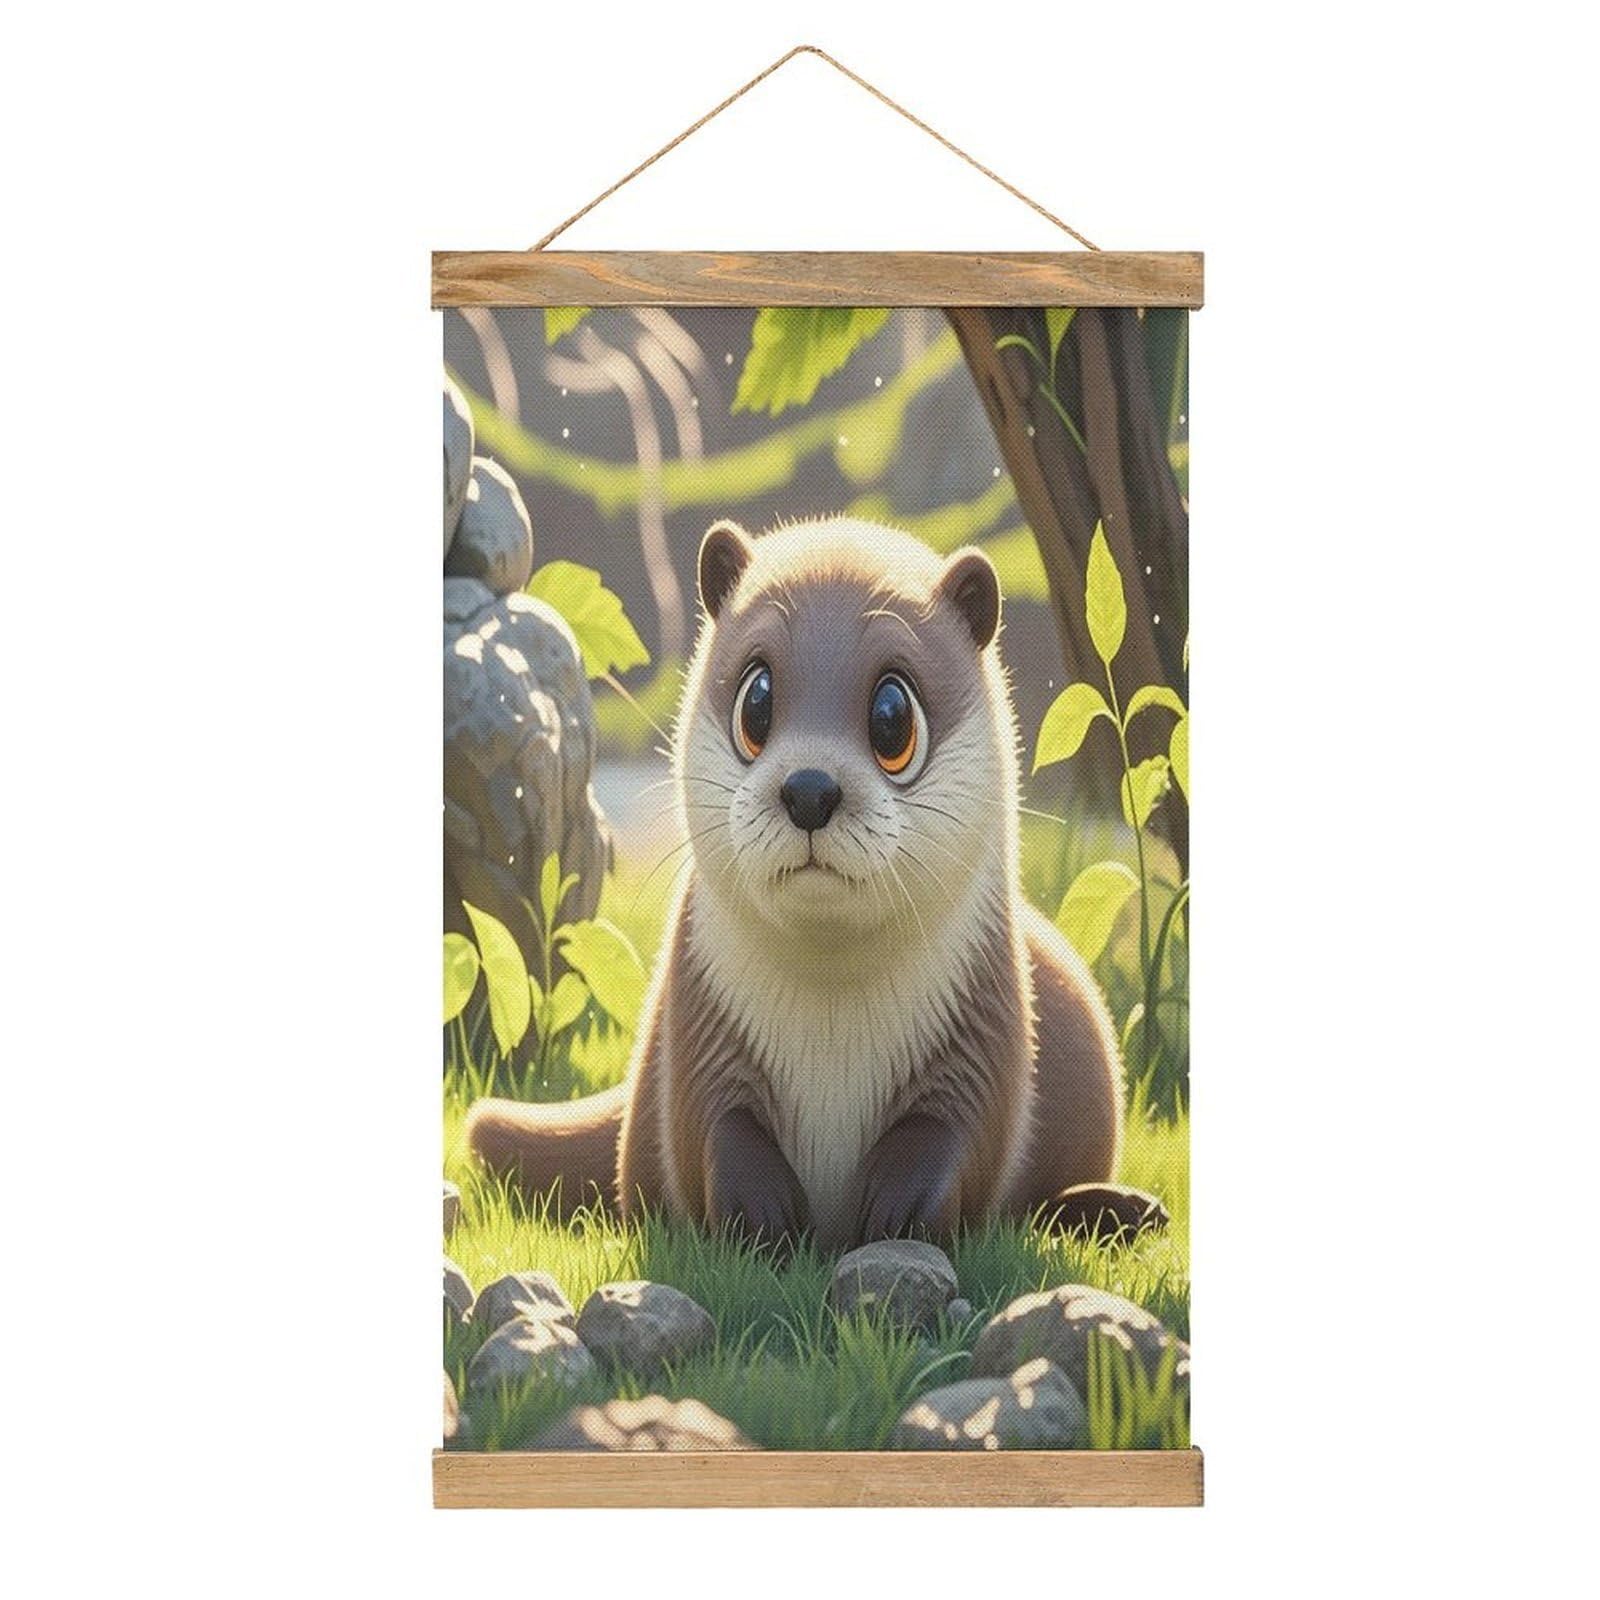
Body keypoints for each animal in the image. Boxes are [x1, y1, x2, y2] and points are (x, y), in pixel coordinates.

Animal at [467, 516, 1154, 1250]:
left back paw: (1116, 1207)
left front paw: (895, 1214)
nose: (809, 790)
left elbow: (957, 1128)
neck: (833, 1033)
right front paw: (761, 1218)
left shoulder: (984, 1026)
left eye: (892, 717)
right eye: (757, 700)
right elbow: (713, 1123)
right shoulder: (697, 1030)